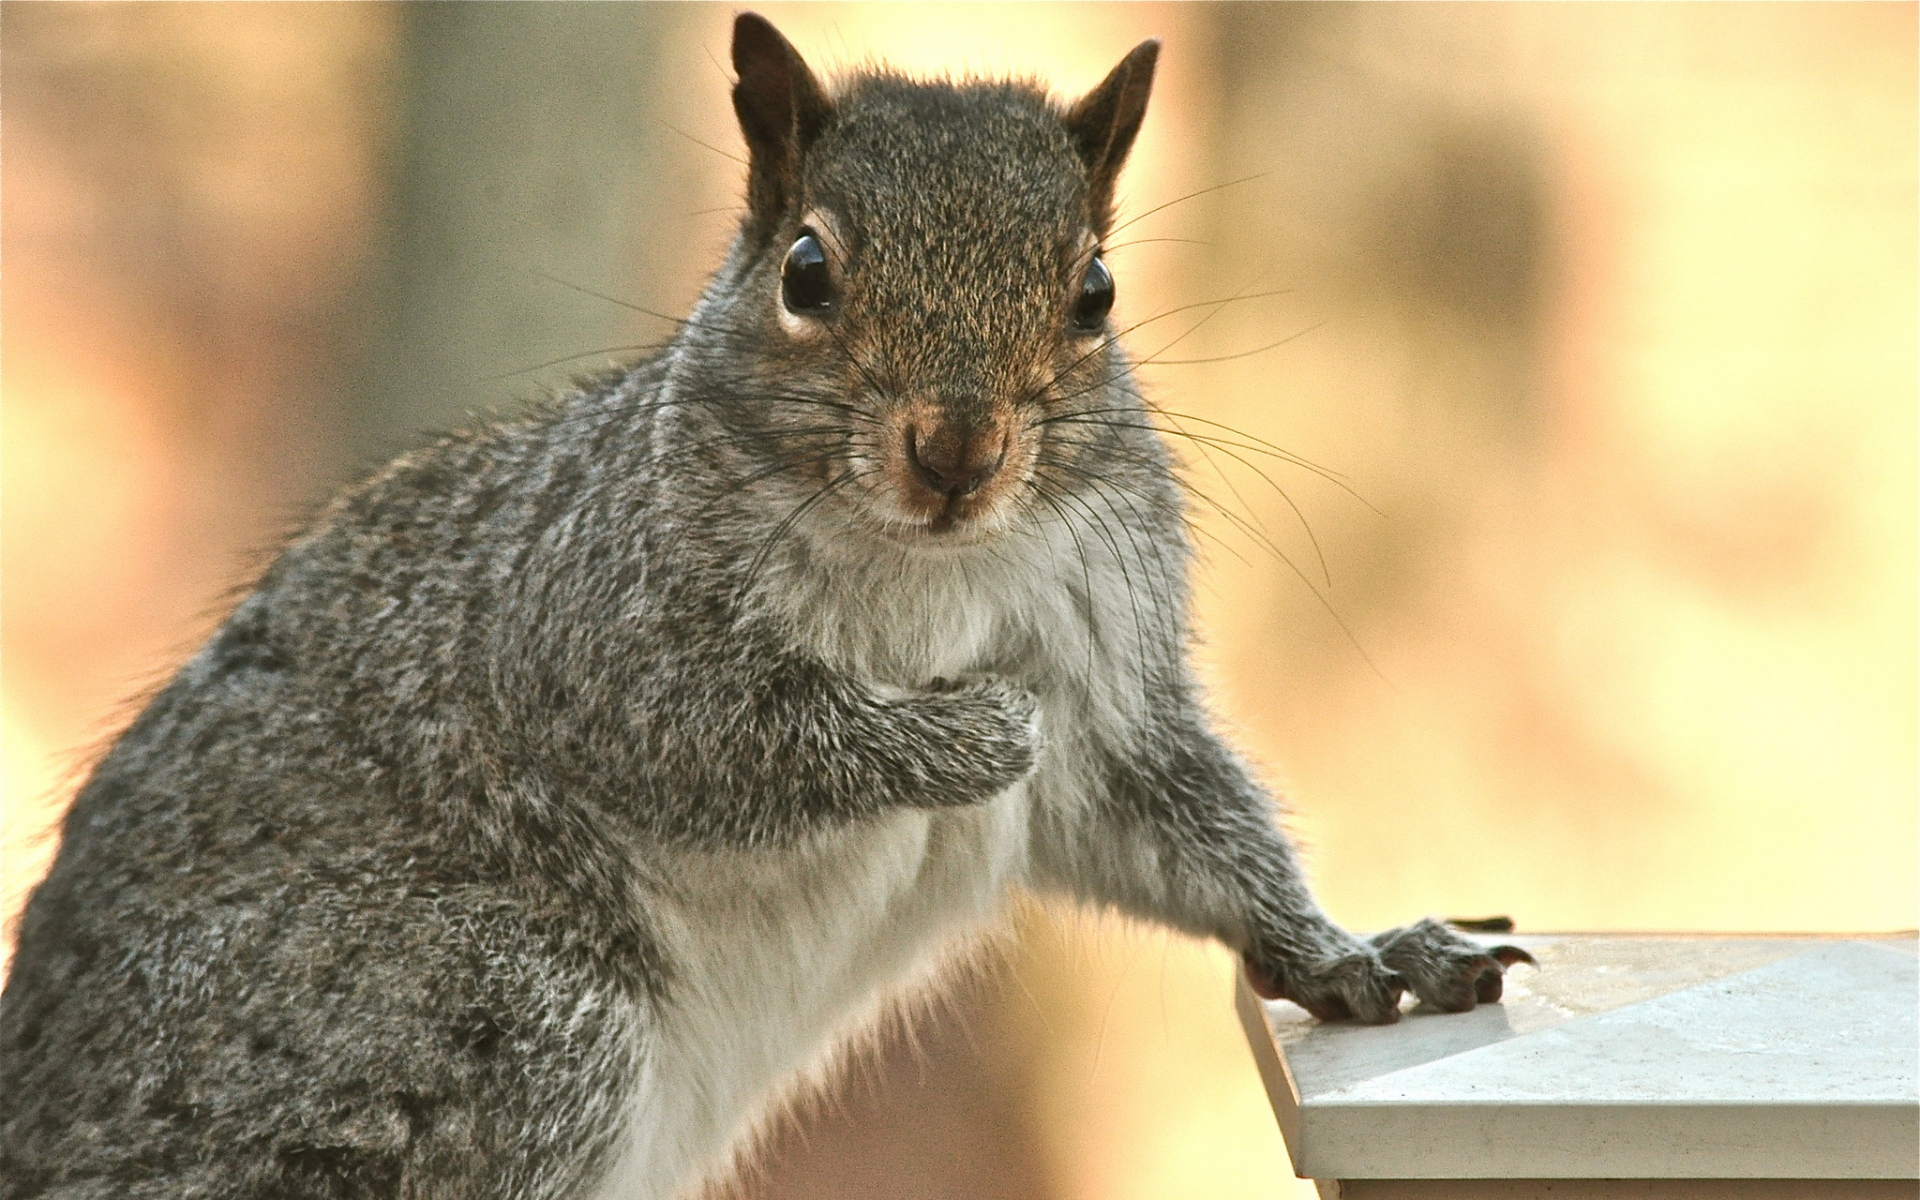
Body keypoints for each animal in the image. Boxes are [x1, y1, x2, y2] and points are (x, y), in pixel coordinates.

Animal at [0, 15, 1529, 1200]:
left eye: (1095, 292)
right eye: (806, 271)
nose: (958, 450)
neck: (930, 561)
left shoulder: (1115, 676)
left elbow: (1178, 820)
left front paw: (1355, 957)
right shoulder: (586, 627)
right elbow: (728, 737)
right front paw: (968, 736)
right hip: (484, 1009)